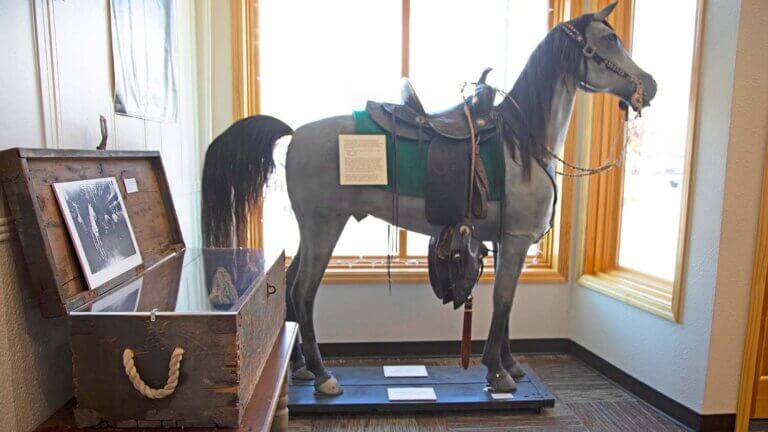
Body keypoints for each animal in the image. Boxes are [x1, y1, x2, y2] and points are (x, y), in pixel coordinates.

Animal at [202, 2, 656, 394]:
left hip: (312, 231)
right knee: (302, 293)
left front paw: (510, 364)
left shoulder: (509, 242)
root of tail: (295, 132)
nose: (649, 86)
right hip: (324, 228)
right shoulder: (515, 240)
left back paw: (299, 369)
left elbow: (508, 303)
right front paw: (497, 371)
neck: (522, 143)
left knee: (293, 286)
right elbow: (504, 300)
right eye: (609, 39)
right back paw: (323, 375)